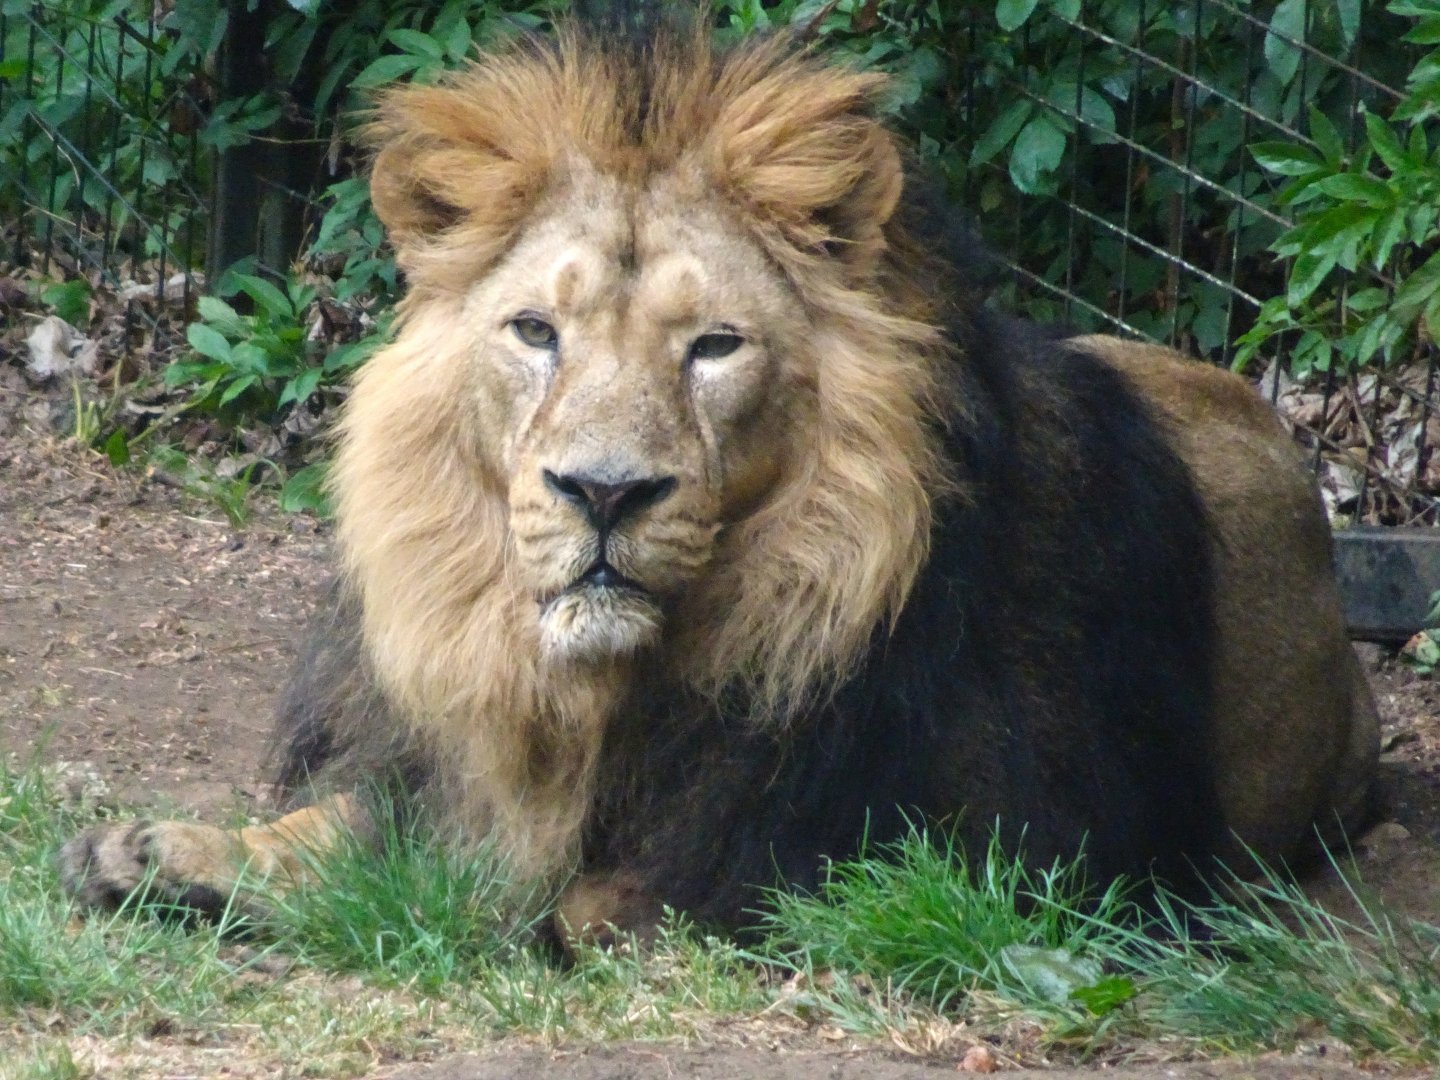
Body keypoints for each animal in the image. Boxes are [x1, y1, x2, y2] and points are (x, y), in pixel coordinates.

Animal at [60, 22, 1379, 944]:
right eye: (535, 331)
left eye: (715, 347)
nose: (603, 494)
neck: (612, 690)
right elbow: (363, 825)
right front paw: (161, 854)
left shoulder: (1001, 849)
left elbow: (611, 899)